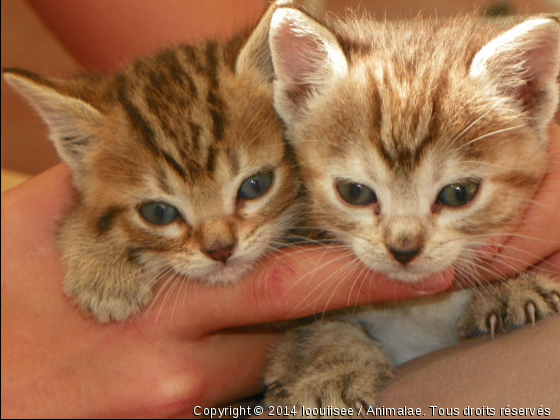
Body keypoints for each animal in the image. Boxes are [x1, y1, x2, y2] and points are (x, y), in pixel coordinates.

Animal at [264, 8, 560, 416]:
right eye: (354, 192)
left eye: (459, 193)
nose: (403, 249)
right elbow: (322, 328)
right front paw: (329, 370)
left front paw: (510, 287)